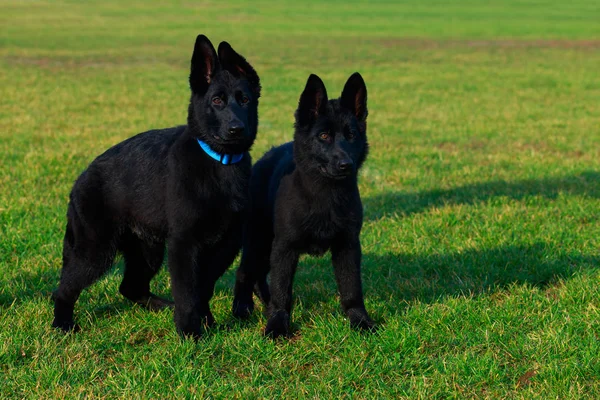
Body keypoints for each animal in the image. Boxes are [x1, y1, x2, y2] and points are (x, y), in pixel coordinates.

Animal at [55, 34, 262, 340]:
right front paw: (190, 332)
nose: (236, 129)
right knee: (63, 289)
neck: (219, 162)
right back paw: (62, 324)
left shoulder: (226, 243)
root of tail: (81, 178)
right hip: (95, 251)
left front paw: (207, 321)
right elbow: (187, 292)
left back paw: (160, 306)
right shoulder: (184, 244)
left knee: (130, 287)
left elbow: (203, 287)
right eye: (216, 100)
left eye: (245, 100)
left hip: (147, 251)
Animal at [234, 72, 376, 338]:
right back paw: (242, 307)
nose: (346, 165)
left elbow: (351, 287)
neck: (325, 197)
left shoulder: (348, 245)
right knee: (246, 271)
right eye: (323, 136)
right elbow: (282, 290)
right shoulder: (285, 247)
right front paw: (277, 325)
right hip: (259, 239)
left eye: (352, 135)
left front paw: (359, 320)